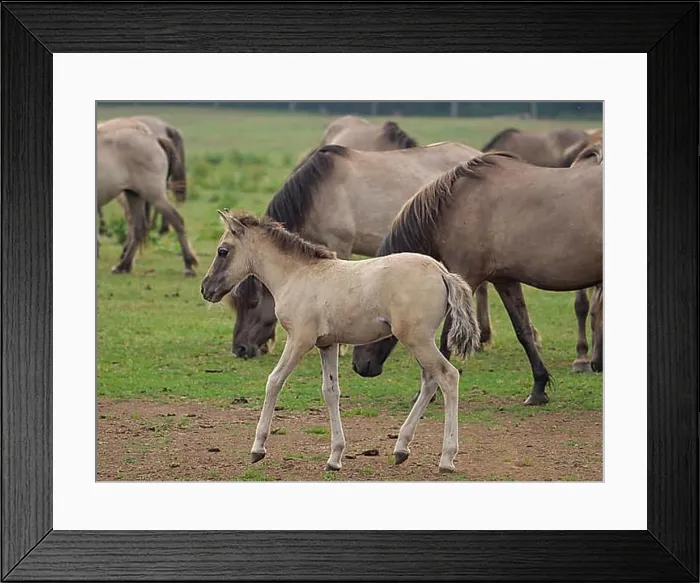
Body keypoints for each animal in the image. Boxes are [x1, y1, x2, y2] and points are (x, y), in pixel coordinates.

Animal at [96, 125, 198, 276]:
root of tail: (155, 139)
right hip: (134, 195)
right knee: (139, 227)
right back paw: (123, 266)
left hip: (154, 195)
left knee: (176, 220)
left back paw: (188, 266)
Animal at [201, 211, 481, 473]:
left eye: (223, 251)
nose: (205, 289)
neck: (297, 275)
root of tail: (442, 272)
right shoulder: (327, 344)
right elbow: (331, 392)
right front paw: (335, 457)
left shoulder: (299, 340)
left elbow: (274, 381)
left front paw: (258, 448)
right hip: (419, 340)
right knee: (430, 382)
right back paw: (401, 448)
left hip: (417, 339)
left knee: (448, 376)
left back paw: (447, 458)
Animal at [352, 151, 602, 406]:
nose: (359, 366)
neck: (454, 207)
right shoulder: (505, 281)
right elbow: (524, 332)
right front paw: (538, 388)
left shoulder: (466, 277)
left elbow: (446, 337)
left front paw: (430, 392)